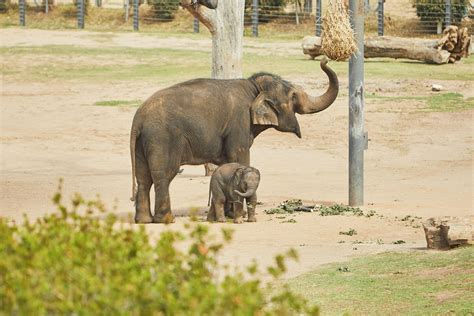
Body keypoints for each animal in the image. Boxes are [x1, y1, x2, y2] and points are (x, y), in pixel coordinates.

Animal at [130, 58, 336, 223]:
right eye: (293, 96)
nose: (325, 59)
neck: (254, 87)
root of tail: (138, 119)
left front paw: (230, 214)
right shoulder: (239, 124)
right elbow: (240, 157)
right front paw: (241, 214)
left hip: (143, 142)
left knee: (143, 177)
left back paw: (144, 220)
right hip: (163, 138)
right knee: (164, 175)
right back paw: (165, 220)